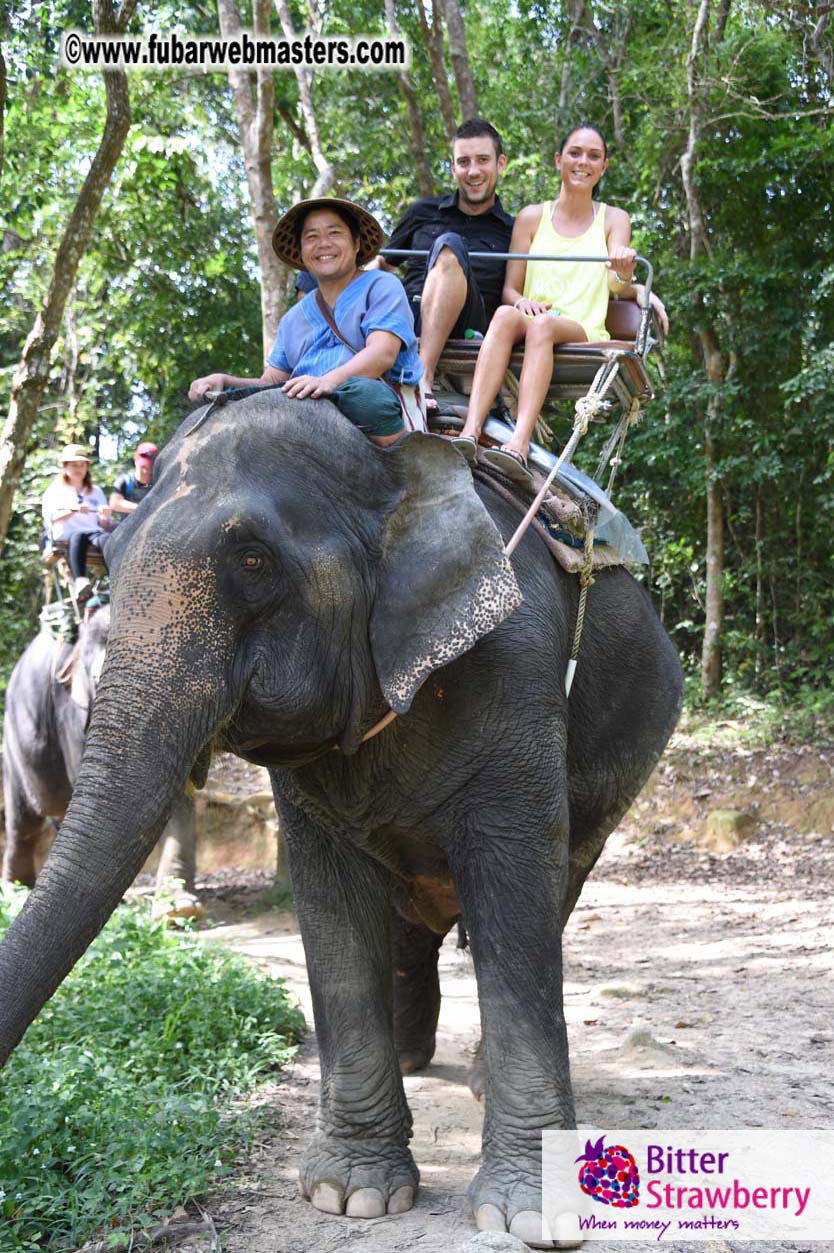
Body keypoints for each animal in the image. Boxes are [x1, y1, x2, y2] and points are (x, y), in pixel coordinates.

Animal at [1, 604, 197, 906]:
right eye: (99, 681)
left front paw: (180, 905)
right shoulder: (70, 712)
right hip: (13, 743)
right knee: (24, 821)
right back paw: (16, 891)